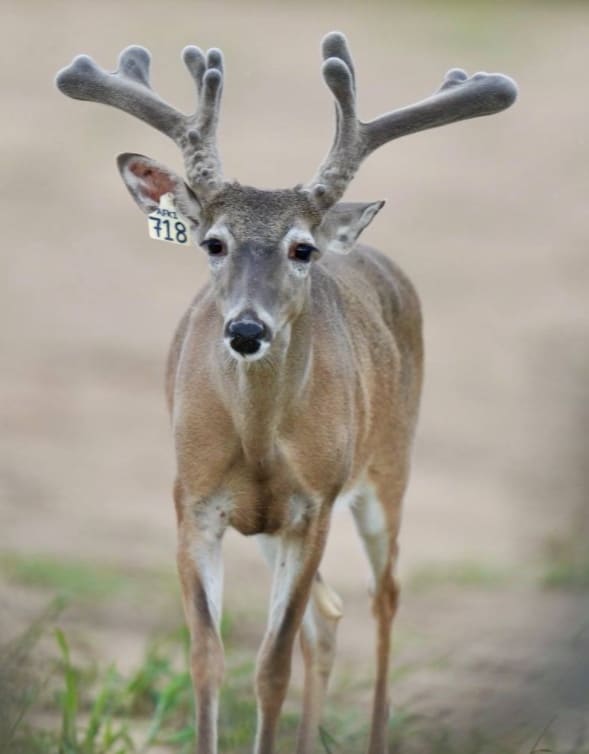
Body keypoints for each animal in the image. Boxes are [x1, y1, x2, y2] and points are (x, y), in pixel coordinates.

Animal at [56, 30, 517, 754]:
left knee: (384, 595)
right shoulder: (192, 500)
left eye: (300, 250)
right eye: (212, 242)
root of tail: (361, 245)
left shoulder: (315, 505)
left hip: (388, 468)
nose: (247, 329)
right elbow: (207, 656)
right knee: (327, 617)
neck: (255, 444)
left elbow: (270, 667)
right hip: (274, 526)